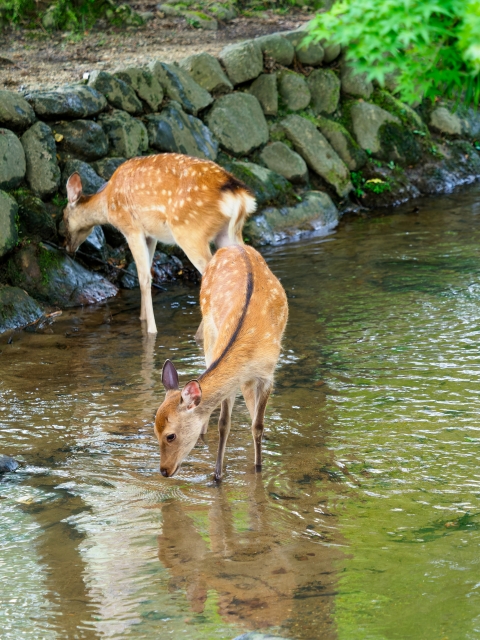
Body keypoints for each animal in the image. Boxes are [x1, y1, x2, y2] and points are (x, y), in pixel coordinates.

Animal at [66, 154, 258, 332]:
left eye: (65, 219)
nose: (68, 247)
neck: (107, 204)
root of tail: (238, 194)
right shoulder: (151, 235)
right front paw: (142, 318)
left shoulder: (131, 228)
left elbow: (144, 277)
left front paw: (151, 329)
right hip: (228, 233)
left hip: (189, 232)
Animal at [156, 245, 286, 480]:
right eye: (154, 430)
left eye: (170, 436)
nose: (164, 471)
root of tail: (233, 246)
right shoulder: (232, 380)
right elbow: (224, 424)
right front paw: (217, 475)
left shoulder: (268, 374)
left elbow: (258, 425)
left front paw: (259, 467)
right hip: (209, 332)